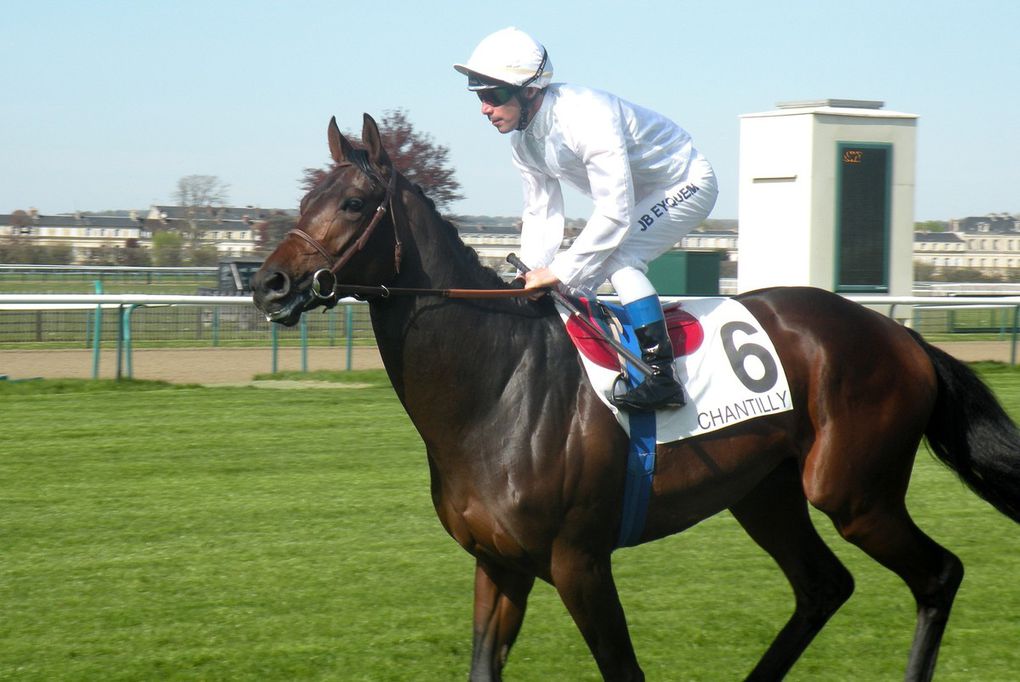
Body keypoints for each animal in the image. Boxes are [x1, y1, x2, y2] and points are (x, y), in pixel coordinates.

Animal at [252, 114, 1020, 676]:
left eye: (353, 203)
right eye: (304, 200)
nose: (268, 283)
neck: (498, 386)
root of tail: (901, 336)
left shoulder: (580, 562)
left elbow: (624, 671)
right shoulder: (498, 565)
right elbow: (483, 666)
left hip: (854, 491)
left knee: (938, 574)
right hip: (765, 493)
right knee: (823, 586)